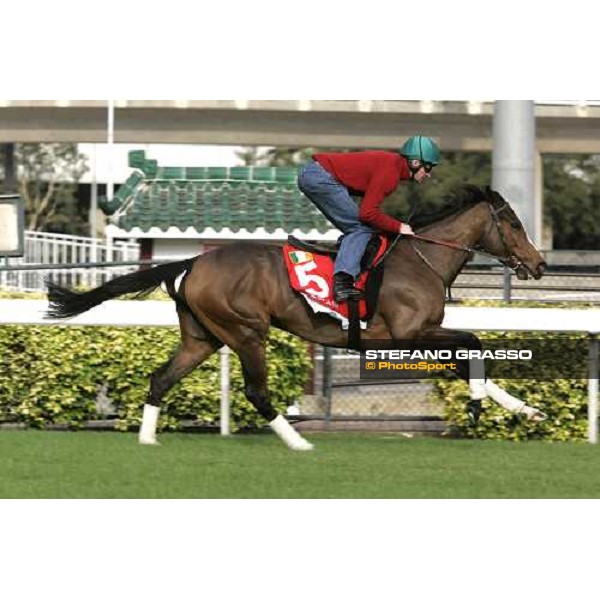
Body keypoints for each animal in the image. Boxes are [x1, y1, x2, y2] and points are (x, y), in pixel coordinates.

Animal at [47, 186, 548, 450]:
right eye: (515, 224)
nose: (539, 264)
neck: (420, 260)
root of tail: (193, 261)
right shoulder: (409, 333)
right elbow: (474, 344)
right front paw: (478, 405)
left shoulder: (418, 335)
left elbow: (471, 356)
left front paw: (526, 409)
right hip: (247, 330)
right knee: (256, 391)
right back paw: (299, 443)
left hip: (203, 337)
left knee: (161, 377)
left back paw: (148, 439)